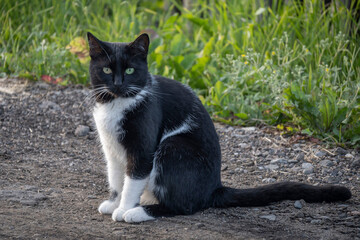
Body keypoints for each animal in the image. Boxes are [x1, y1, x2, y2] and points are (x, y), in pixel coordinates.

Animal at [86, 31, 352, 223]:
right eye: (106, 69)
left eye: (131, 70)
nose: (118, 84)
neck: (115, 103)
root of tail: (215, 187)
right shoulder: (111, 147)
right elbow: (116, 176)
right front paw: (113, 202)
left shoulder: (142, 146)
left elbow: (132, 180)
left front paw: (123, 209)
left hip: (174, 146)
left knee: (185, 205)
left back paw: (139, 213)